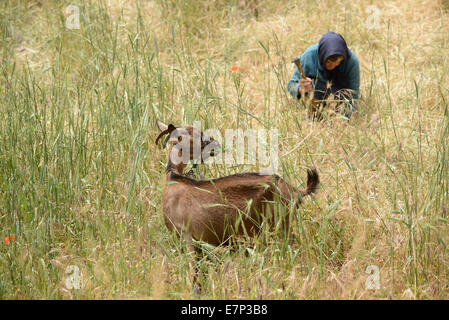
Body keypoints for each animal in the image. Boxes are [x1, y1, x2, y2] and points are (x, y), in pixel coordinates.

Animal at [156, 119, 316, 250]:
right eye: (196, 135)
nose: (216, 145)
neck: (172, 179)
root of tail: (295, 191)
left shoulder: (187, 237)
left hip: (281, 226)